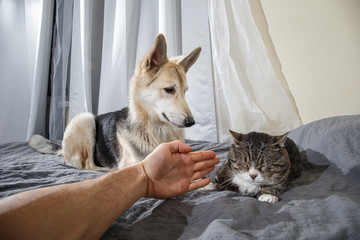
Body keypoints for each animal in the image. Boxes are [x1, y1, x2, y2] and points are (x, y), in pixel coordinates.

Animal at [28, 33, 201, 170]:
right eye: (169, 90)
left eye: (185, 92)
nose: (191, 122)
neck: (157, 130)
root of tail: (62, 150)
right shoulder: (134, 164)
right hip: (85, 119)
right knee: (88, 166)